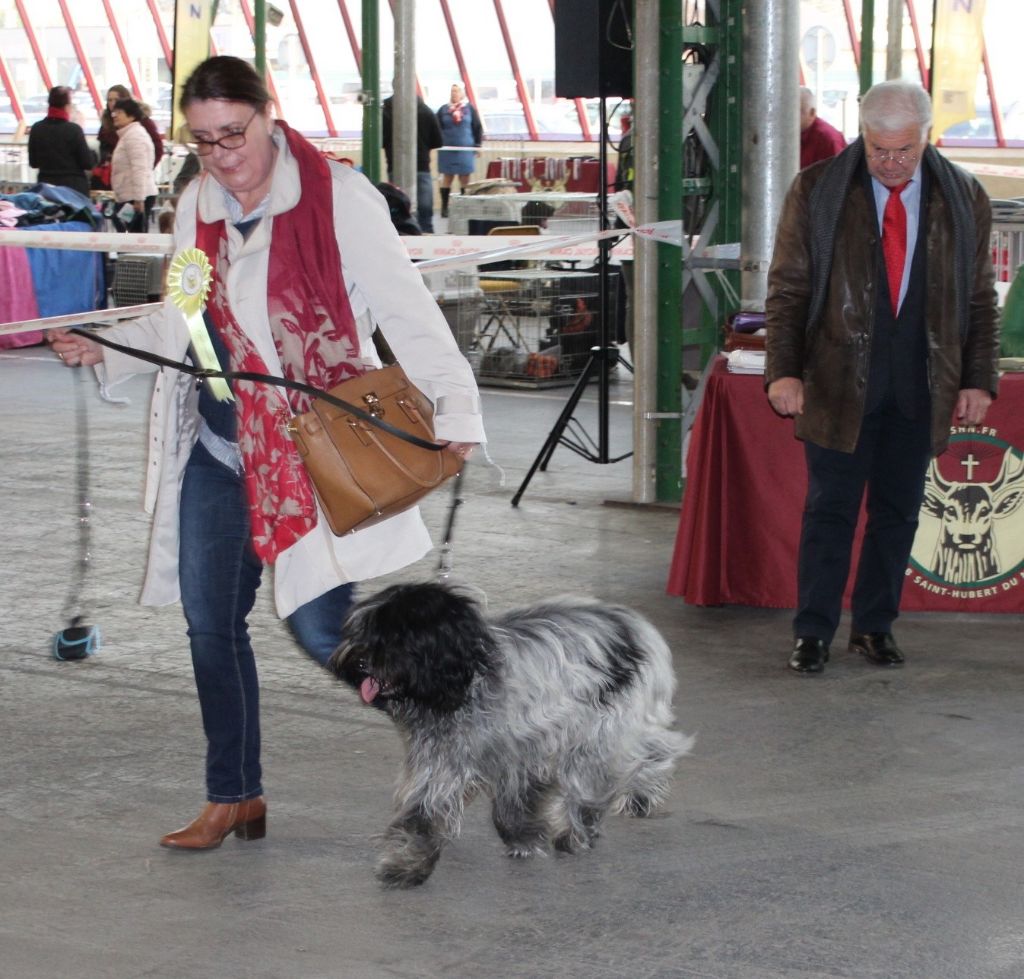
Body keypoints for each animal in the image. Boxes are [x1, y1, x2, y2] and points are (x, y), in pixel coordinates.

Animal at [331, 581, 692, 888]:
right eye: (364, 631)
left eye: (395, 637)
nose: (357, 662)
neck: (468, 679)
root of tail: (636, 625)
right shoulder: (450, 759)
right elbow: (431, 810)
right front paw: (522, 837)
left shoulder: (521, 747)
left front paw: (406, 865)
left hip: (601, 731)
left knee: (631, 761)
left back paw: (604, 815)